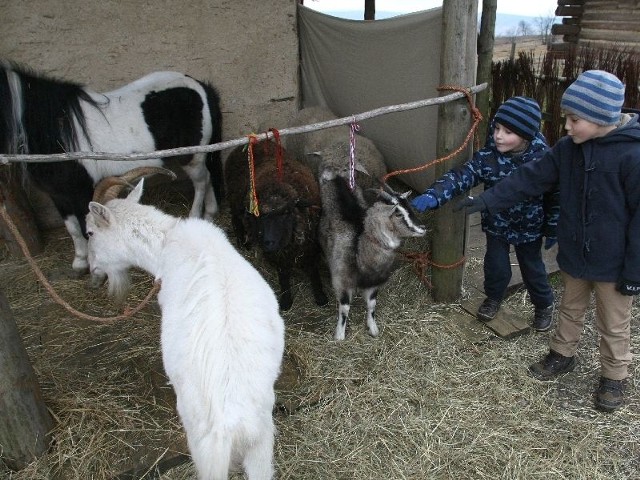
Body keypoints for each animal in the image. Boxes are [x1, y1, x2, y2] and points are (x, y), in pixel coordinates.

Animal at [0, 60, 224, 278]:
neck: (58, 132)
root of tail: (201, 86)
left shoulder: (81, 194)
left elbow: (87, 230)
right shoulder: (59, 196)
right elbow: (73, 229)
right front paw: (80, 263)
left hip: (192, 157)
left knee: (201, 181)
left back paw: (197, 216)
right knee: (208, 178)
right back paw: (209, 215)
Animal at [86, 171, 284, 478]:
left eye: (90, 233)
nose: (91, 268)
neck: (167, 240)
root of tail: (231, 424)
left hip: (201, 442)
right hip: (261, 440)